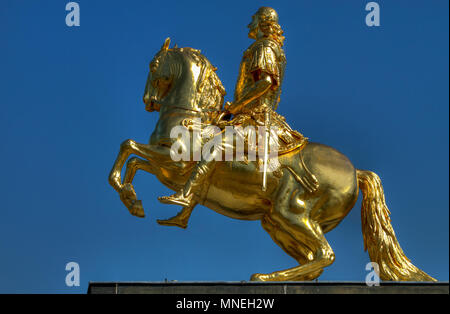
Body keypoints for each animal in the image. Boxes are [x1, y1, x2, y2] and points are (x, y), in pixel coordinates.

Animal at [109, 37, 436, 282]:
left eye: (153, 65)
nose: (148, 102)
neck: (191, 118)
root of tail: (355, 172)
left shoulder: (174, 165)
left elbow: (129, 148)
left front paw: (155, 200)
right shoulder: (164, 168)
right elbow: (133, 159)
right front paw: (134, 202)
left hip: (291, 211)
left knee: (324, 254)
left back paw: (266, 277)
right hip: (276, 222)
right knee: (313, 261)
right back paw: (272, 276)